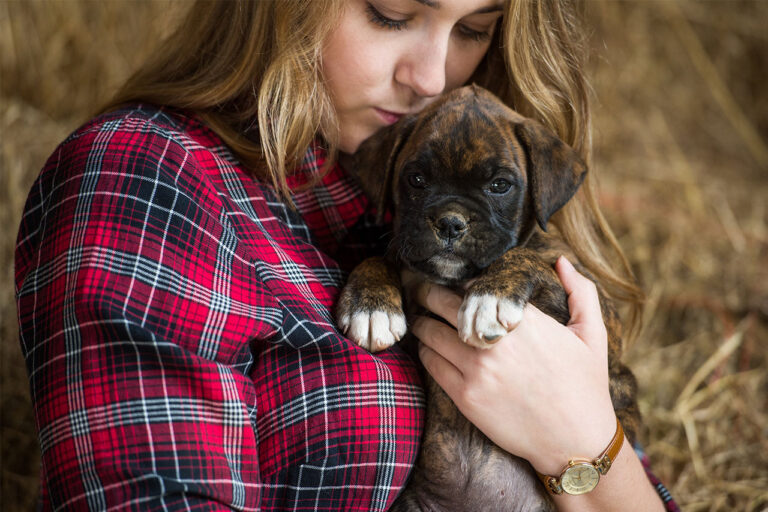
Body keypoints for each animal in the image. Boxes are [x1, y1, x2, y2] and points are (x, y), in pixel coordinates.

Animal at [332, 86, 640, 510]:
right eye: (416, 179)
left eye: (499, 186)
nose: (450, 222)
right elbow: (379, 256)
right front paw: (370, 305)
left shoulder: (598, 315)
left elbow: (521, 256)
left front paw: (489, 297)